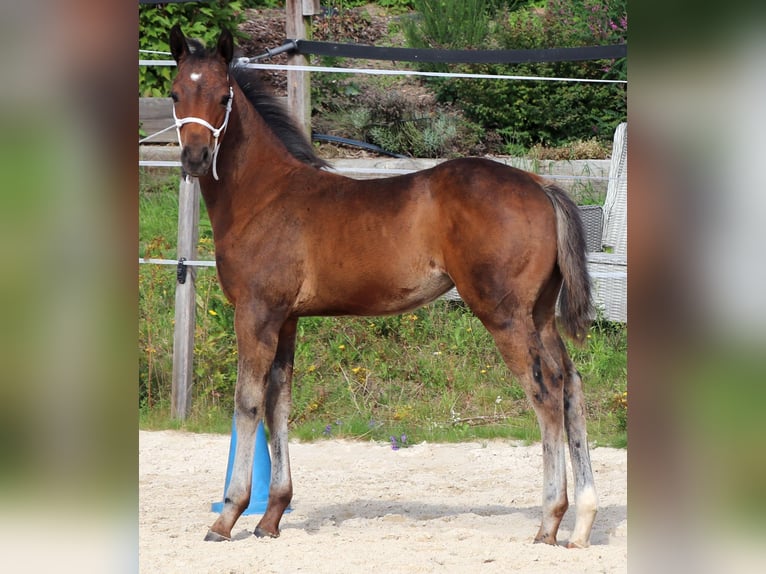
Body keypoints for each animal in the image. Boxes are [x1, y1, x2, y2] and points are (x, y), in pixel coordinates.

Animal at [168, 25, 598, 548]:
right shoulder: (287, 319)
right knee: (571, 385)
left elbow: (247, 404)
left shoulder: (256, 312)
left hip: (504, 314)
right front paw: (271, 517)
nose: (195, 157)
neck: (264, 196)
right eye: (175, 93)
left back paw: (549, 521)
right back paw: (582, 522)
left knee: (545, 391)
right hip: (540, 314)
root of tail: (540, 185)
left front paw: (227, 516)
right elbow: (278, 406)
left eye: (224, 95)